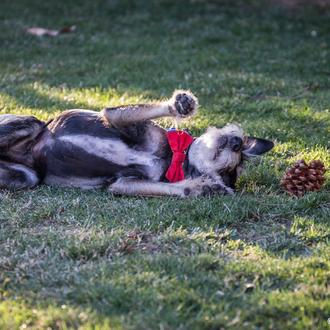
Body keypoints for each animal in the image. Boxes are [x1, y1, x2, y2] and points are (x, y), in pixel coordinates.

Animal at [0, 91, 274, 196]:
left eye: (226, 172)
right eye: (231, 167)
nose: (237, 142)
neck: (171, 158)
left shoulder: (124, 183)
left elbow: (174, 189)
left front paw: (202, 188)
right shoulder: (118, 119)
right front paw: (181, 104)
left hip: (26, 177)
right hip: (30, 123)